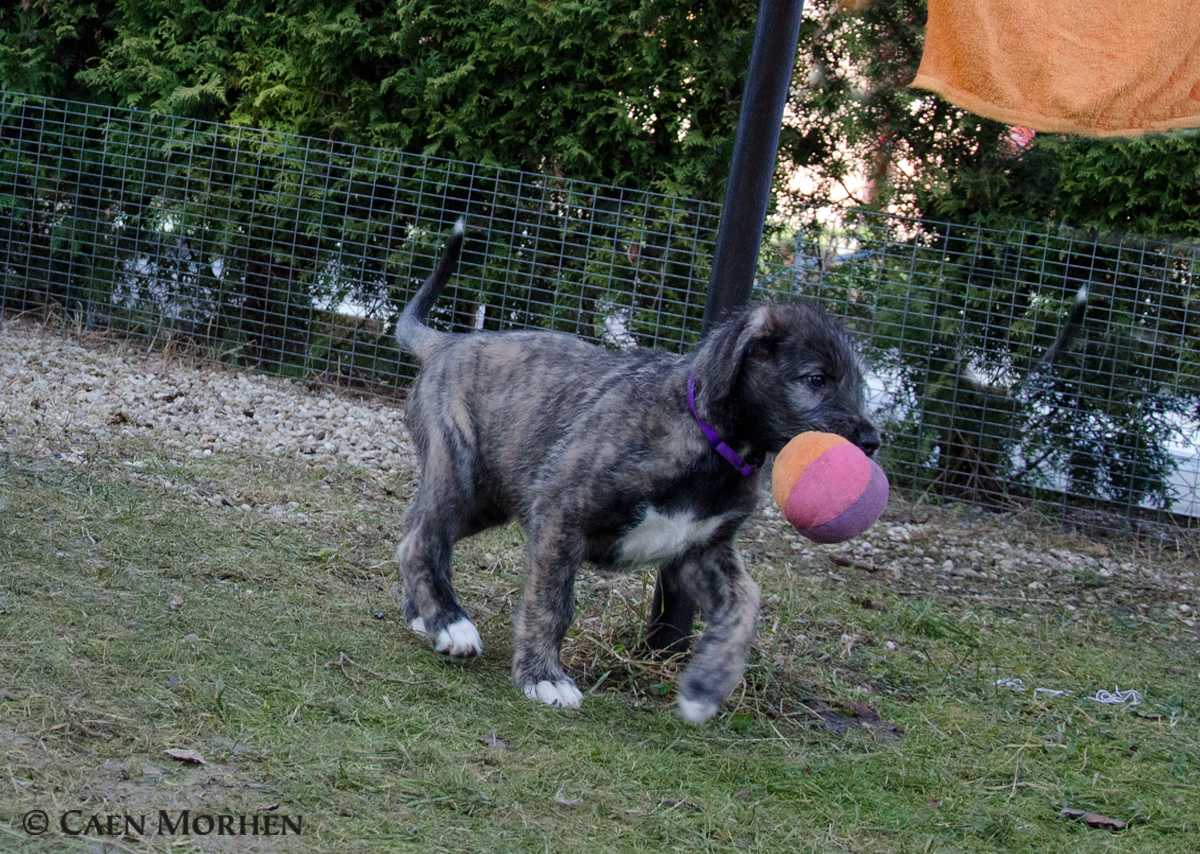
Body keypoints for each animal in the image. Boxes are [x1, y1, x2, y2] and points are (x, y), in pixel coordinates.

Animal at [398, 220, 878, 719]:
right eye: (815, 380)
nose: (871, 443)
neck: (709, 442)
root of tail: (449, 342)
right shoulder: (562, 514)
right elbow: (552, 601)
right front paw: (543, 677)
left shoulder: (702, 548)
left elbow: (746, 602)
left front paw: (707, 686)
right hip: (461, 471)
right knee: (422, 539)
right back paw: (450, 623)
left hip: (489, 498)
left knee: (415, 527)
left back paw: (423, 615)